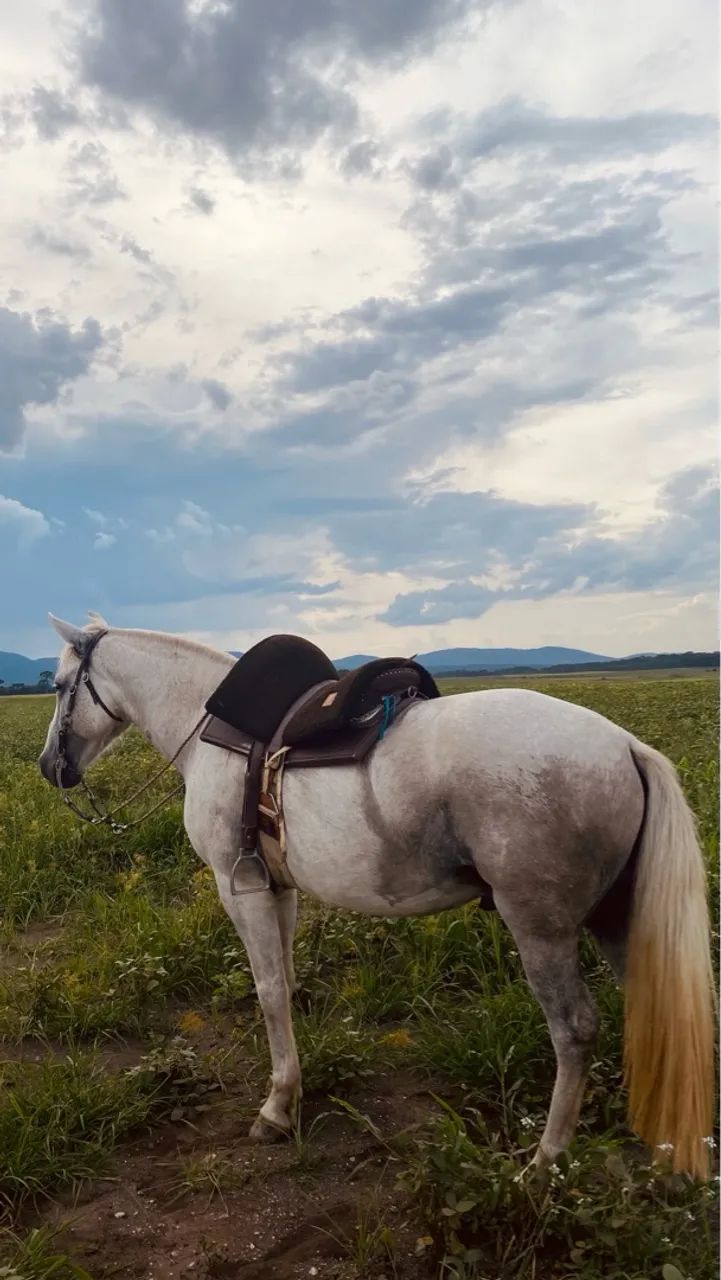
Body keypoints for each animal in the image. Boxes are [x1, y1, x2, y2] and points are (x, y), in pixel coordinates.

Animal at [37, 612, 715, 1179]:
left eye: (61, 684)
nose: (50, 767)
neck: (210, 733)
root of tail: (625, 746)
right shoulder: (277, 888)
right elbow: (286, 982)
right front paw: (293, 1090)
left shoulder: (239, 886)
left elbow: (269, 990)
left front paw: (276, 1108)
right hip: (615, 919)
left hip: (541, 927)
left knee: (573, 1030)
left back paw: (545, 1163)